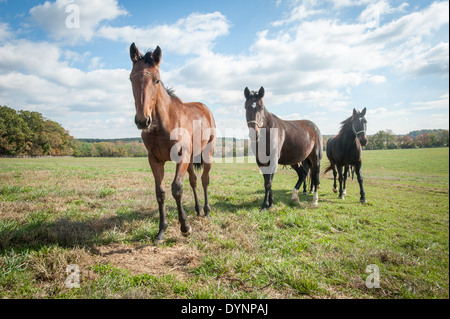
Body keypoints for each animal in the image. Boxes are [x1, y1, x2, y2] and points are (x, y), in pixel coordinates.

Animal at [129, 42, 215, 242]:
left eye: (156, 80)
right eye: (131, 78)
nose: (142, 121)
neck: (163, 124)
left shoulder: (181, 157)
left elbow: (176, 188)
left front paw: (185, 227)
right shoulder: (155, 160)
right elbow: (160, 192)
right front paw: (161, 231)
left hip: (207, 153)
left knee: (204, 180)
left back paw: (206, 211)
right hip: (191, 159)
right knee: (193, 181)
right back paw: (198, 210)